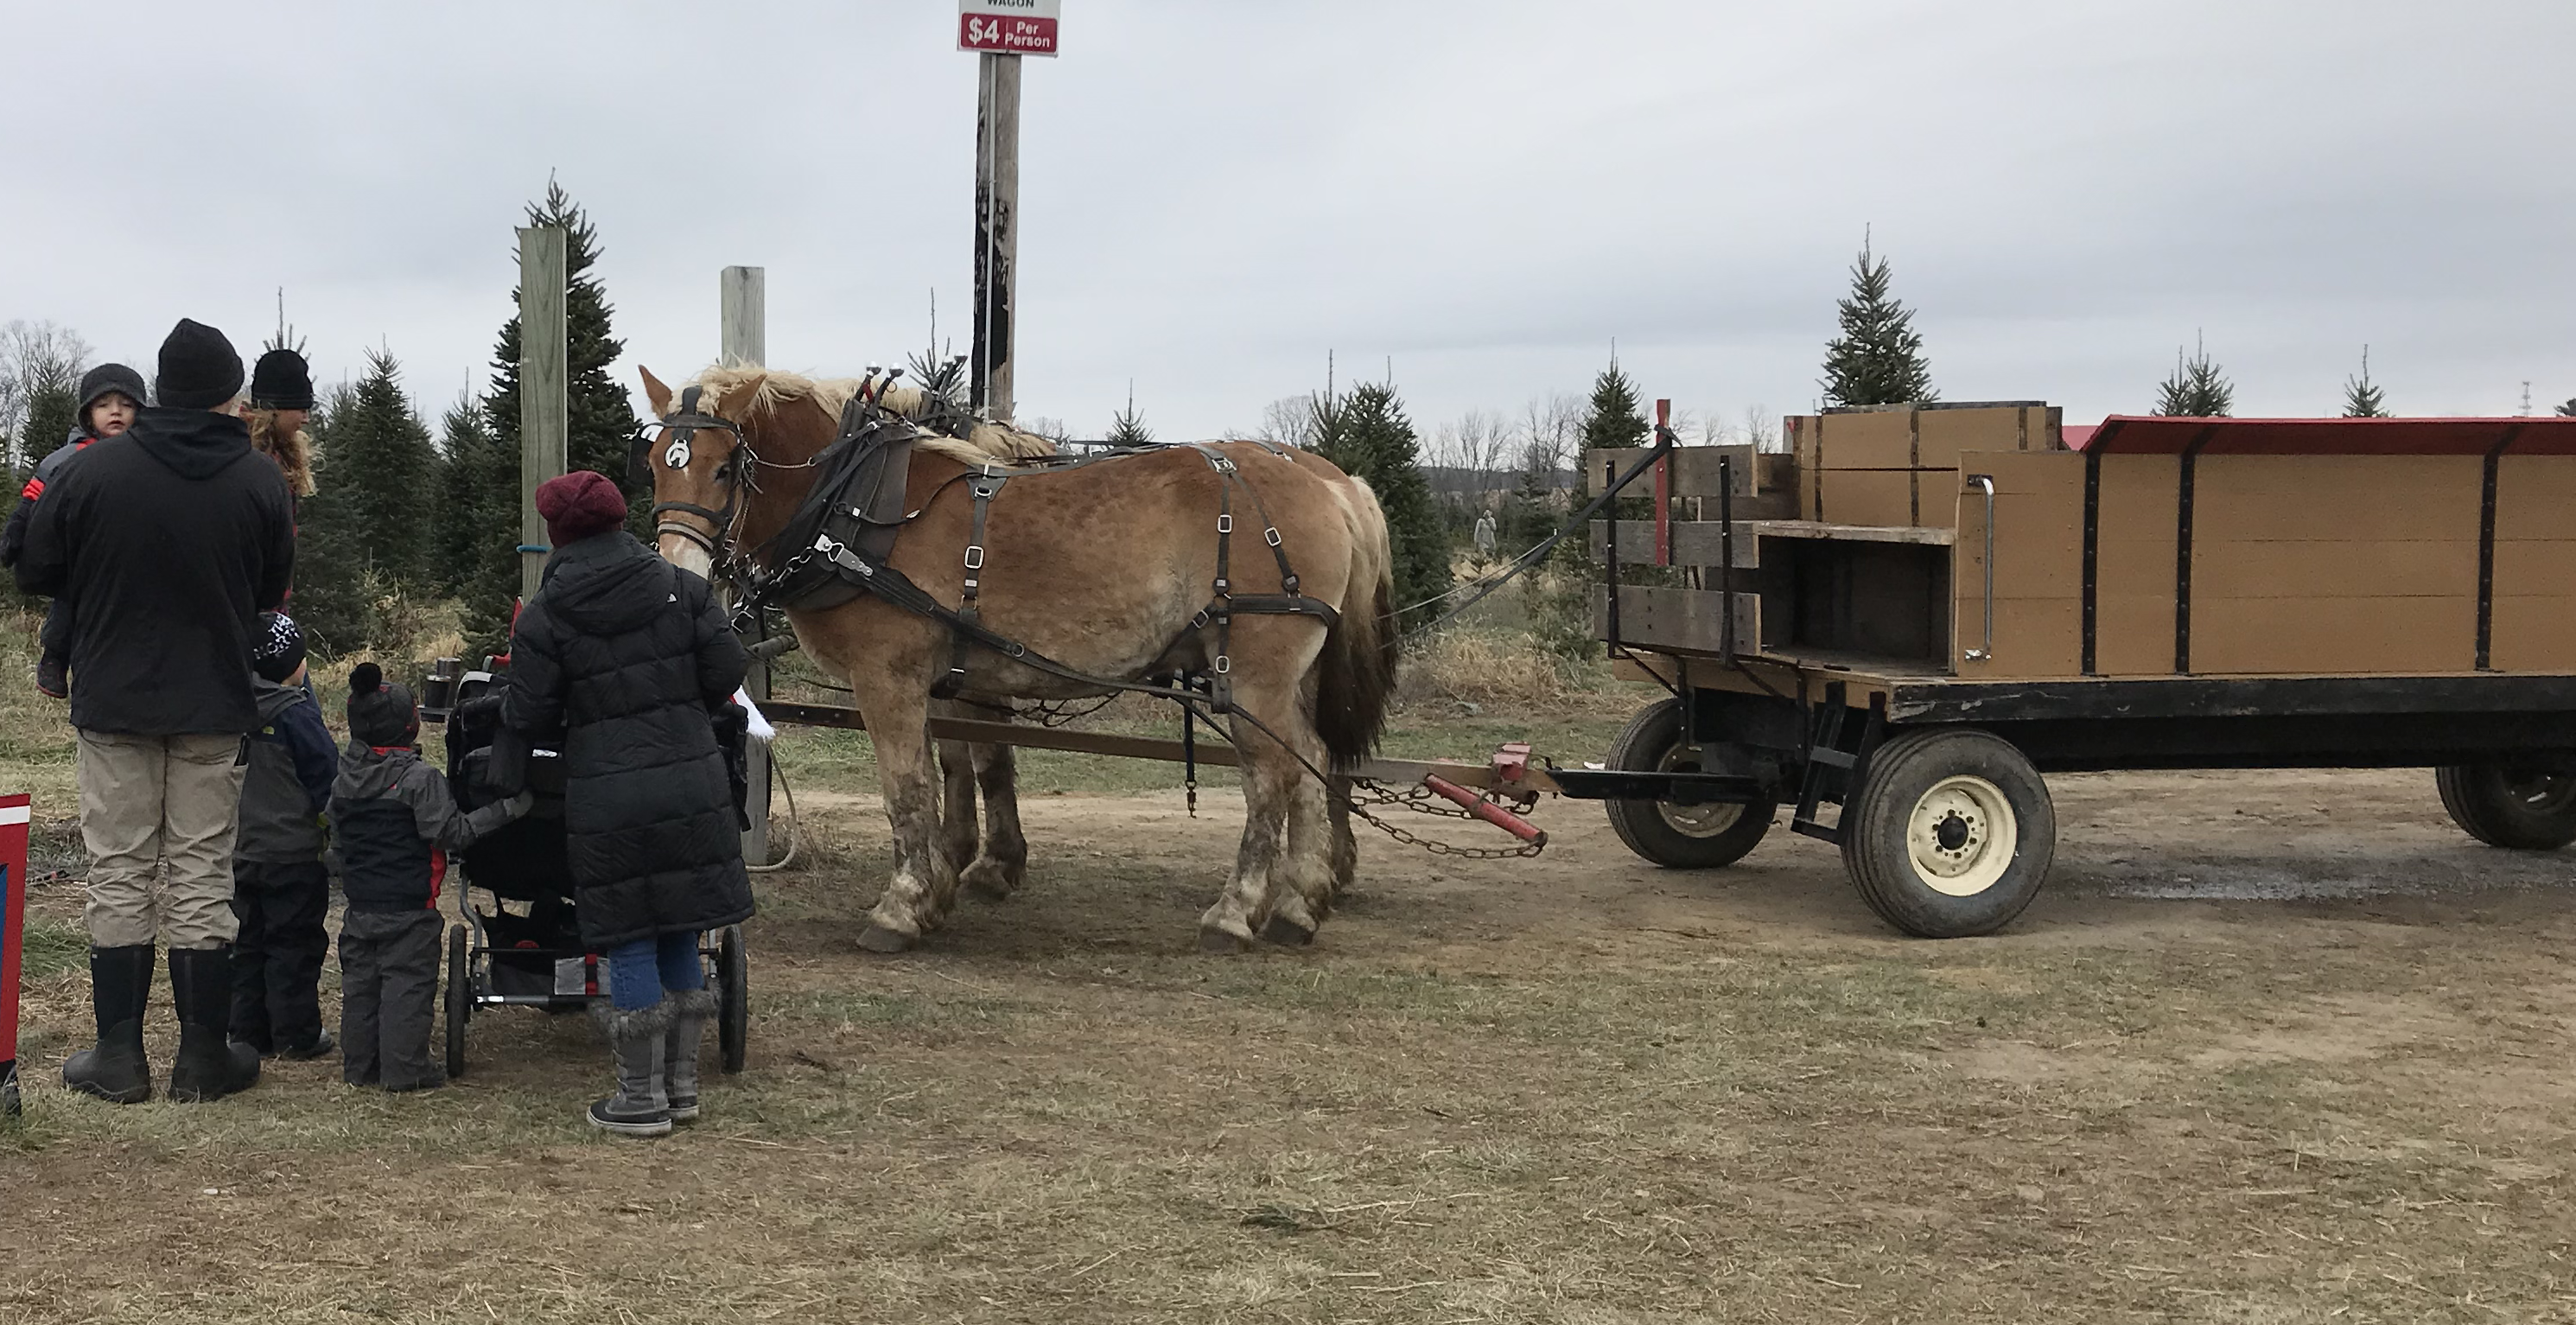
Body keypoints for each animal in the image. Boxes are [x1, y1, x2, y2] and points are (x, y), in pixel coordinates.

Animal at [633, 366, 1401, 948]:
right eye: (652, 468)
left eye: (725, 467)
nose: (680, 572)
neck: (857, 508)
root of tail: (1335, 486)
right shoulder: (942, 680)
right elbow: (961, 768)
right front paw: (949, 882)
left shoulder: (888, 678)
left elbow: (907, 787)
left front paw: (903, 904)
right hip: (1282, 676)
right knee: (1311, 763)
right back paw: (1298, 902)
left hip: (1253, 672)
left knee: (1273, 775)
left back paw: (1237, 910)